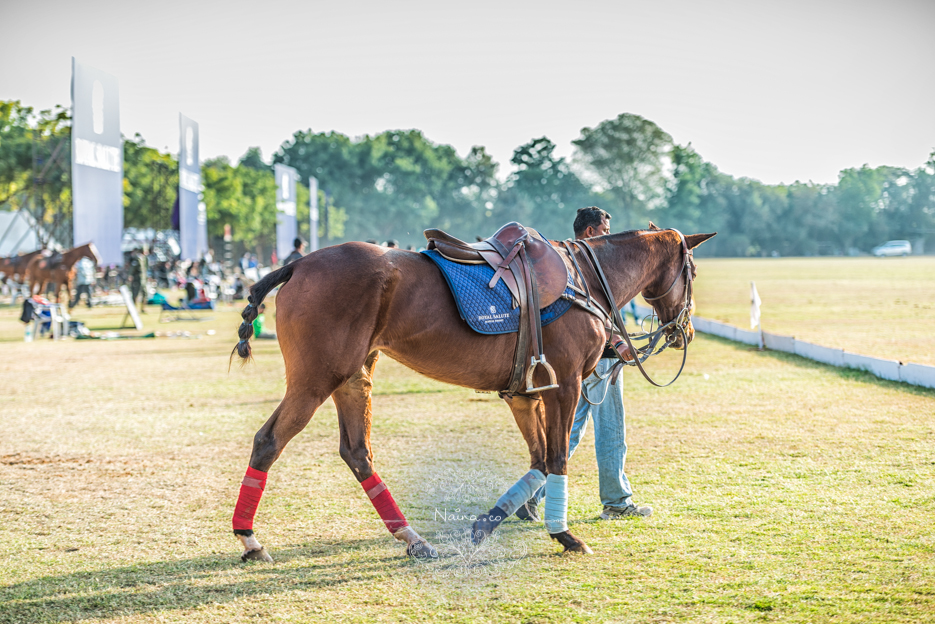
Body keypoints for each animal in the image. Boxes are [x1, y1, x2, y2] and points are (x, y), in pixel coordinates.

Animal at [230, 223, 712, 560]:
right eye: (692, 271)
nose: (685, 331)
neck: (588, 280)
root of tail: (298, 264)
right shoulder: (565, 385)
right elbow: (557, 458)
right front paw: (564, 535)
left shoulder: (524, 394)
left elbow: (540, 461)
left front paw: (487, 524)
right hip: (314, 379)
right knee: (269, 441)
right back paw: (250, 539)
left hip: (353, 379)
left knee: (357, 452)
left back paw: (413, 538)